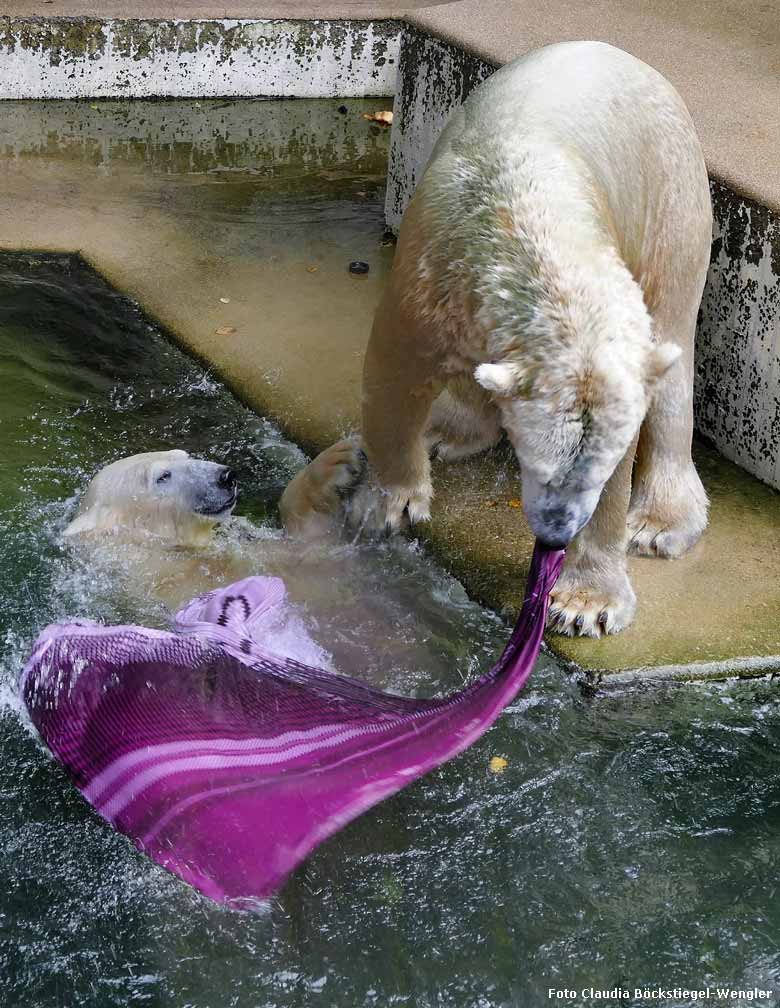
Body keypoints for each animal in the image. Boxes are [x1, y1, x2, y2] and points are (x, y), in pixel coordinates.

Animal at [350, 43, 713, 637]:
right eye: (536, 463)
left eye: (594, 473)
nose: (556, 533)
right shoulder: (434, 271)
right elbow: (396, 370)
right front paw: (391, 504)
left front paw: (587, 602)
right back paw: (448, 430)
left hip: (671, 199)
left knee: (674, 348)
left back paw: (661, 523)